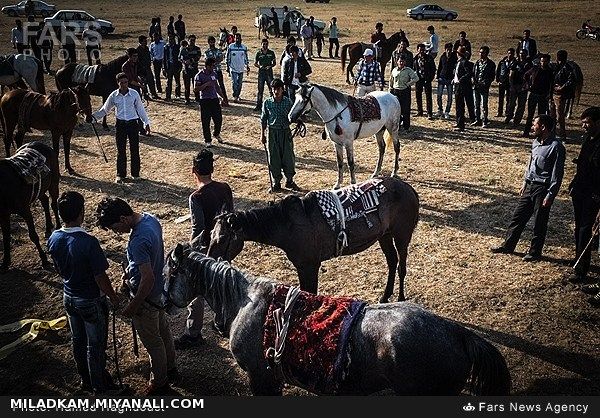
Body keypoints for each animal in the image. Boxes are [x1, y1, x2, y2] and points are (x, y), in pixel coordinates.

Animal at [0, 140, 59, 272]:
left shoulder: (25, 210)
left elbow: (33, 235)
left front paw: (44, 260)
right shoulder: (3, 215)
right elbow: (6, 237)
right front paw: (5, 262)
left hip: (54, 183)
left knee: (54, 204)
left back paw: (58, 226)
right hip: (40, 189)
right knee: (45, 201)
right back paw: (48, 227)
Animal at [206, 176, 418, 300]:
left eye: (222, 238)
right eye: (211, 235)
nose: (210, 260)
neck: (288, 224)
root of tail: (408, 188)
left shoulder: (309, 266)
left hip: (402, 236)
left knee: (401, 266)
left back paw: (400, 298)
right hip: (385, 235)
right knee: (392, 262)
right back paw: (385, 296)